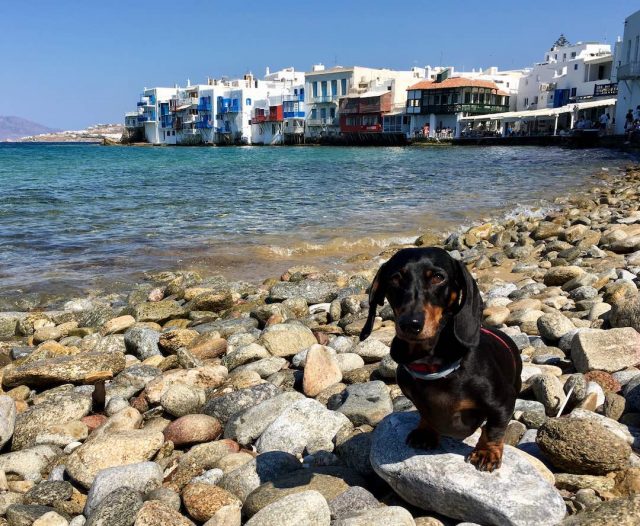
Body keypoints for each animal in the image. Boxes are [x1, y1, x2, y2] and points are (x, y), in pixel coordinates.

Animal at [360, 248, 520, 474]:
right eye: (395, 278)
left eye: (438, 277)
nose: (410, 324)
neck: (431, 364)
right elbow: (425, 413)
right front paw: (426, 432)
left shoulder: (503, 402)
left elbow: (494, 428)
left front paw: (486, 453)